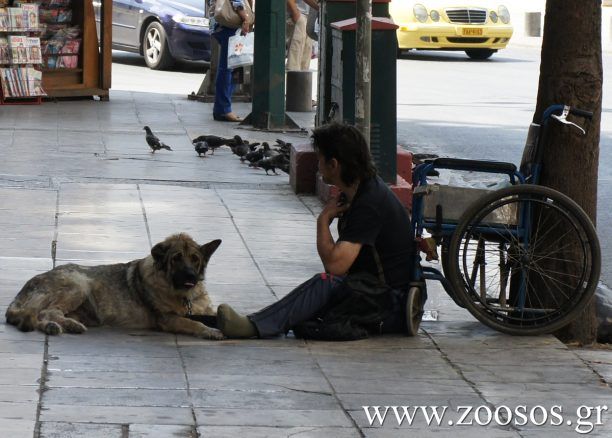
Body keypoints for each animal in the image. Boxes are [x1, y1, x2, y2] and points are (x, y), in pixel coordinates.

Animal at [4, 233, 225, 338]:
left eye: (195, 259)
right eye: (176, 258)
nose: (191, 276)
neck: (184, 295)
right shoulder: (167, 319)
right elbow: (193, 323)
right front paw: (209, 330)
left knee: (39, 316)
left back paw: (56, 326)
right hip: (79, 285)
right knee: (46, 311)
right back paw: (66, 325)